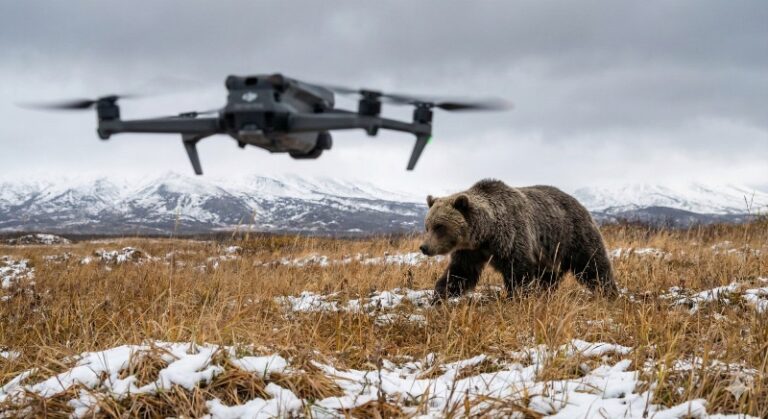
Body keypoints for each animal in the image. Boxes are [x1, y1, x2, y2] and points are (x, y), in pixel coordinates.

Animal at [419, 179, 618, 301]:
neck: (487, 234)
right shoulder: (470, 251)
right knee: (549, 276)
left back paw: (609, 293)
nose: (424, 247)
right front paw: (439, 296)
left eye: (440, 226)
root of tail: (578, 203)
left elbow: (518, 273)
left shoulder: (513, 239)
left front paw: (515, 298)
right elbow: (460, 273)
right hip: (550, 253)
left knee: (593, 265)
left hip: (572, 236)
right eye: (427, 225)